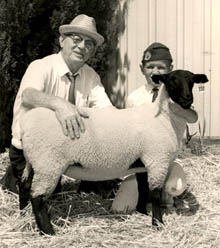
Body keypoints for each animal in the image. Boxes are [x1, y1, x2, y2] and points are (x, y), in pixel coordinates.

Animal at [20, 70, 208, 234]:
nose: (187, 98)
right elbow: (154, 194)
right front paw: (157, 224)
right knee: (37, 197)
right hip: (48, 163)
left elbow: (142, 188)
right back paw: (48, 232)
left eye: (192, 81)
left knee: (25, 185)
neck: (163, 117)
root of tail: (25, 124)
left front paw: (142, 213)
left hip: (36, 162)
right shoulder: (157, 160)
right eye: (171, 81)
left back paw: (22, 214)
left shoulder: (144, 164)